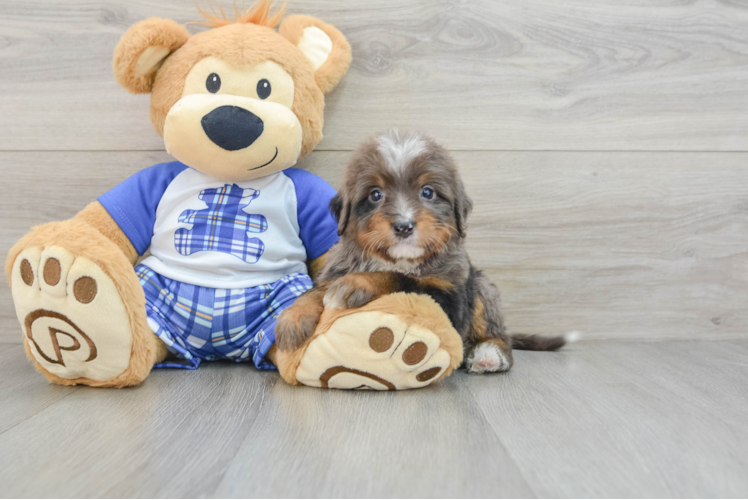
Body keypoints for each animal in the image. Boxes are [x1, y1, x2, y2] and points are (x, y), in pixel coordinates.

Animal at [278, 131, 576, 374]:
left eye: (428, 192)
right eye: (375, 195)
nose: (404, 226)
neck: (400, 259)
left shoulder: (450, 297)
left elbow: (398, 279)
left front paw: (356, 284)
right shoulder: (336, 268)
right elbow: (315, 291)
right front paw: (292, 317)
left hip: (481, 287)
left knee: (499, 335)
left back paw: (489, 355)